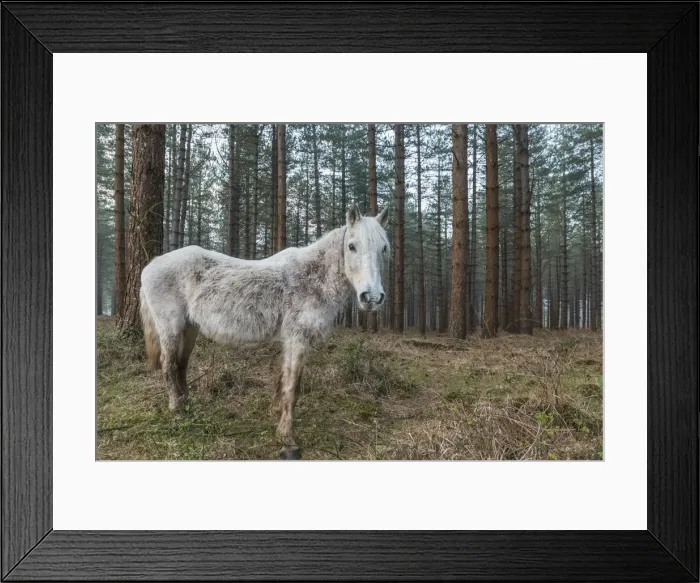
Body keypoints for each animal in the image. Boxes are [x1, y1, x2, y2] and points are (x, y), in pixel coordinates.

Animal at [139, 204, 390, 459]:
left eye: (384, 248)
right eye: (352, 246)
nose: (371, 297)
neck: (312, 277)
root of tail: (151, 265)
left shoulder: (290, 340)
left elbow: (283, 378)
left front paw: (276, 413)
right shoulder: (297, 339)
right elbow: (293, 386)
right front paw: (287, 441)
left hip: (190, 328)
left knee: (181, 365)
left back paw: (188, 407)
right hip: (170, 326)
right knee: (169, 365)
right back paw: (177, 411)